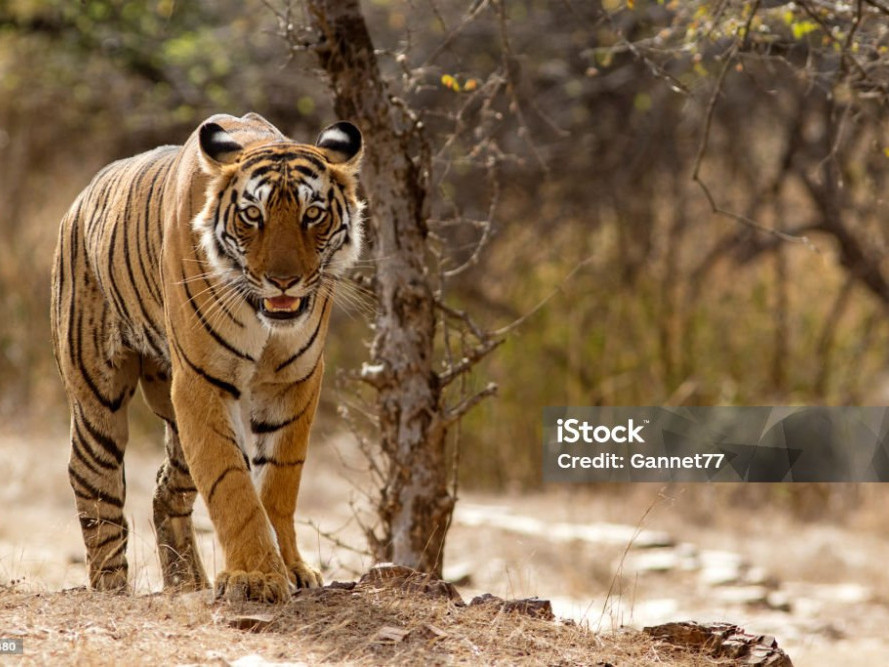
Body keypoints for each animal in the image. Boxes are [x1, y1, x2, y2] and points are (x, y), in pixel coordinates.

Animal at [50, 112, 364, 603]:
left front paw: (291, 568)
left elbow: (278, 481)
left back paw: (186, 582)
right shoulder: (202, 382)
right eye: (252, 215)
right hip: (97, 397)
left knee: (166, 491)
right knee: (94, 485)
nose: (283, 281)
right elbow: (230, 482)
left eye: (312, 214)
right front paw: (255, 576)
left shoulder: (294, 380)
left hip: (174, 424)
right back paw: (111, 588)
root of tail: (81, 199)